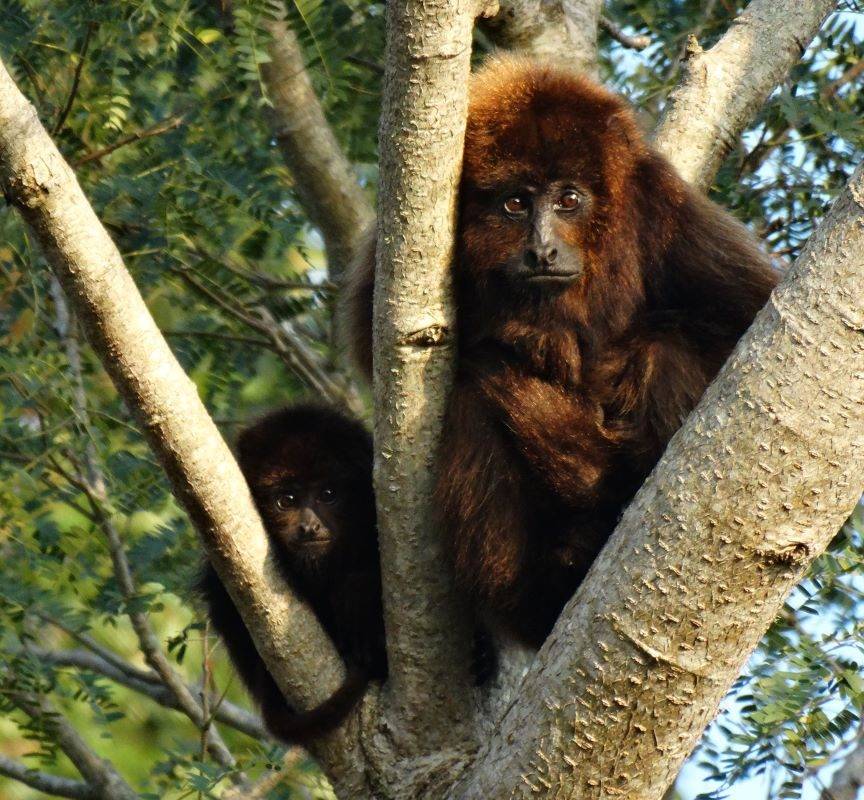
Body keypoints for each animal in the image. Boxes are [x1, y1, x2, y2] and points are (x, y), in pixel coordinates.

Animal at [343, 57, 779, 649]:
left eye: (569, 199)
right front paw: (531, 338)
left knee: (664, 351)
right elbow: (377, 339)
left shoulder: (662, 207)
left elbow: (746, 316)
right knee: (472, 401)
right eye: (515, 203)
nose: (543, 250)